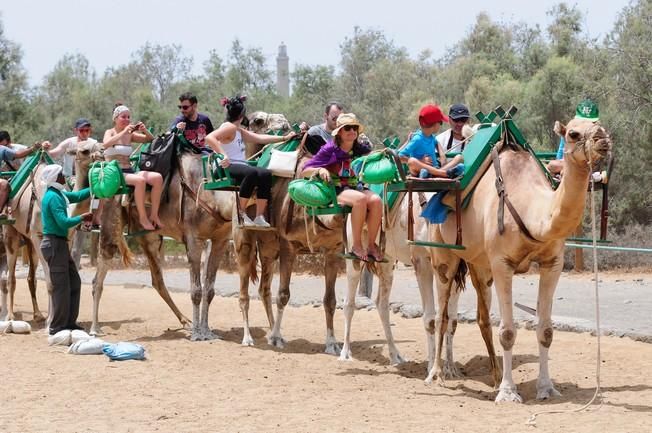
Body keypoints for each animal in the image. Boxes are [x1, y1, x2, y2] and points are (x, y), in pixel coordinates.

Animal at [89, 149, 234, 340]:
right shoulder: (194, 239)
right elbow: (196, 290)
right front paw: (197, 334)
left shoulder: (221, 240)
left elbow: (209, 290)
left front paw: (207, 331)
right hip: (111, 217)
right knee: (99, 274)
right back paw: (94, 328)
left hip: (150, 236)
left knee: (157, 279)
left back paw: (185, 321)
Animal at [428, 116, 612, 400]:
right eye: (573, 133)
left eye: (599, 124)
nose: (603, 139)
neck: (532, 211)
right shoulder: (502, 264)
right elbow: (507, 331)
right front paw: (508, 392)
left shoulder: (552, 263)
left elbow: (545, 330)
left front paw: (546, 388)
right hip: (443, 257)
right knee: (442, 314)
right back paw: (436, 374)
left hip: (478, 264)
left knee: (482, 316)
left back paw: (493, 377)